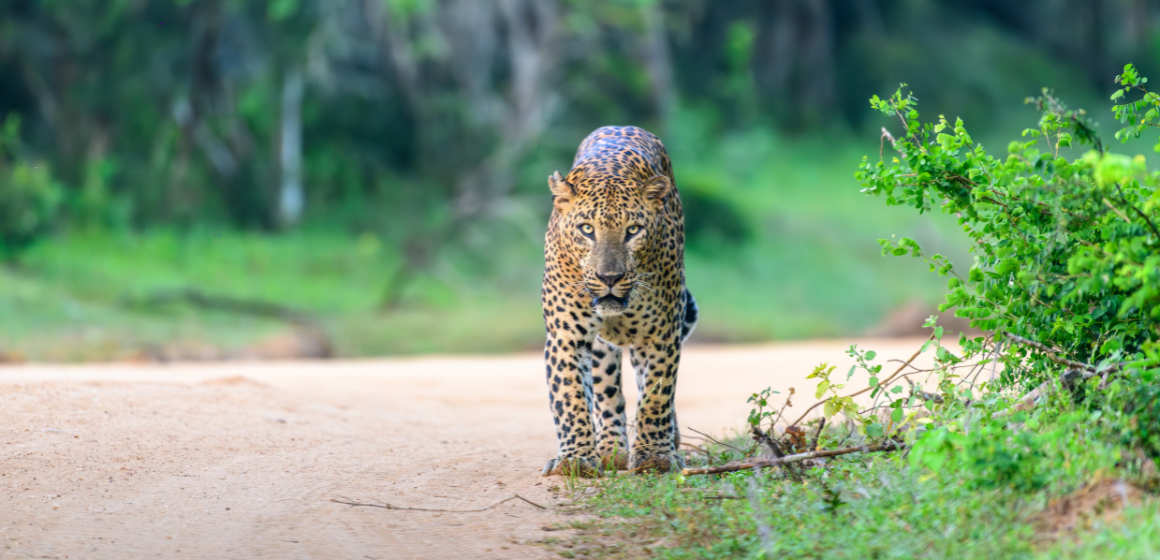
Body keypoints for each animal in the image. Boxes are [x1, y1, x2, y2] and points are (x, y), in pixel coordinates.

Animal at [540, 125, 697, 477]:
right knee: (606, 392)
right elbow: (570, 396)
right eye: (587, 229)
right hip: (599, 347)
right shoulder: (565, 336)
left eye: (633, 230)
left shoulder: (662, 334)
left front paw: (655, 456)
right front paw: (576, 459)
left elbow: (656, 395)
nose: (609, 277)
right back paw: (611, 449)